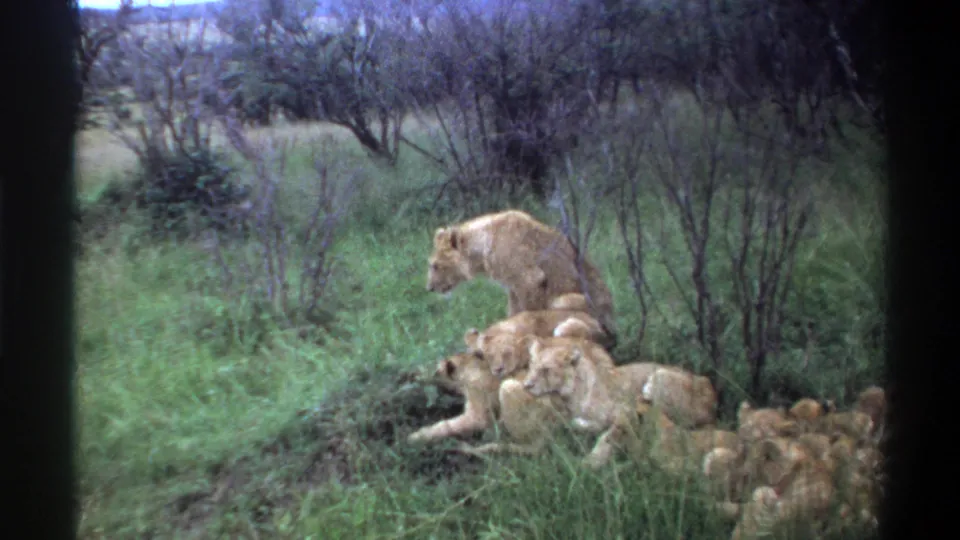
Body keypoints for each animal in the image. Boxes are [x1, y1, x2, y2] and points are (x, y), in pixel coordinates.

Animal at [425, 210, 617, 341]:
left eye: (435, 265)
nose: (430, 288)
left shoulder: (529, 280)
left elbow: (529, 314)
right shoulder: (512, 287)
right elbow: (514, 312)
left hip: (568, 302)